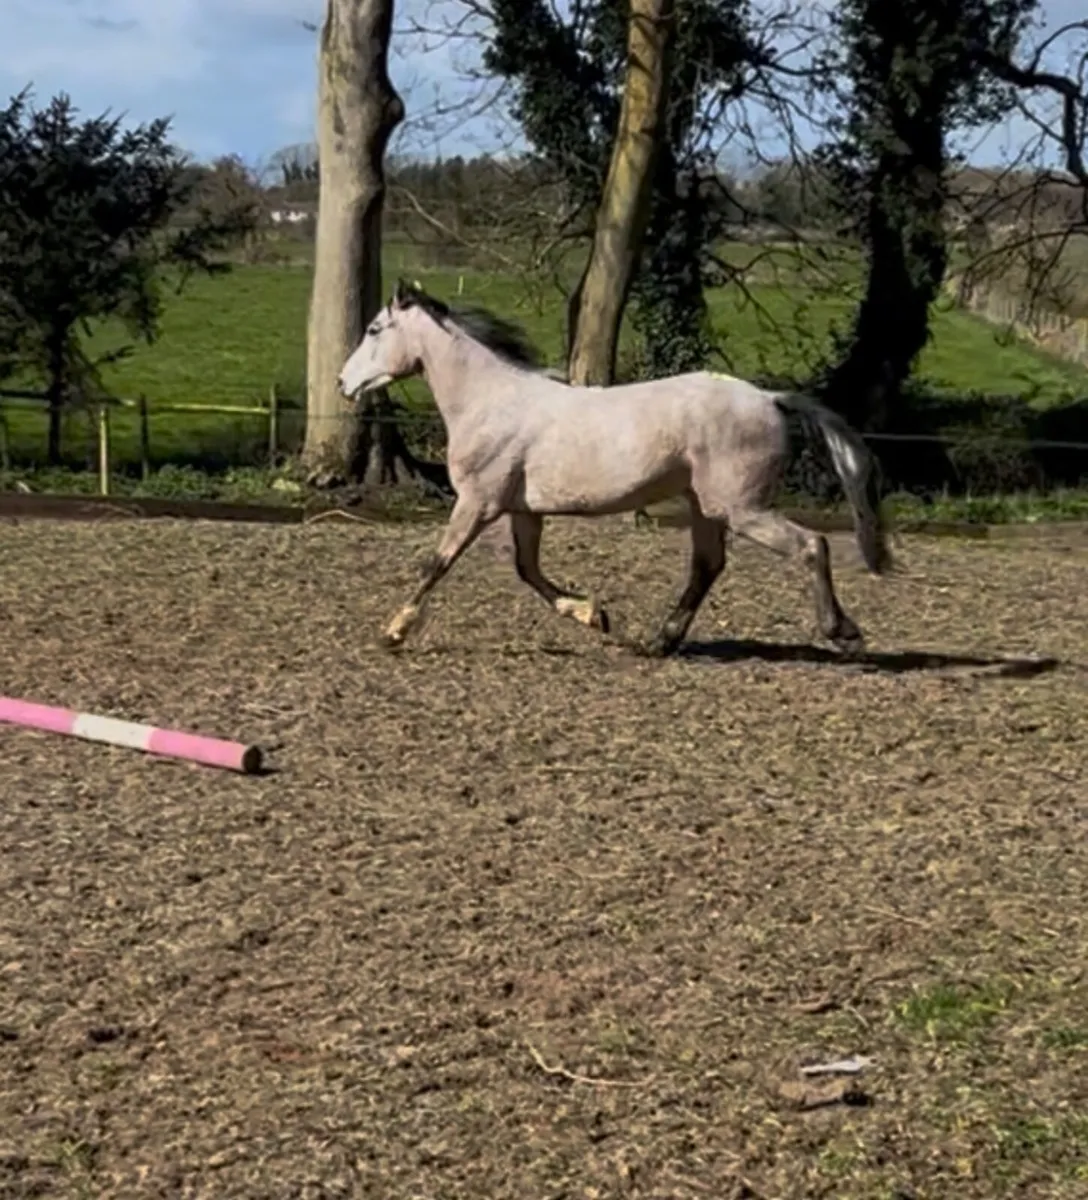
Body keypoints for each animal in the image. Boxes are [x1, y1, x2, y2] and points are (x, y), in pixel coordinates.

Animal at [338, 279, 890, 656]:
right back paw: (660, 642)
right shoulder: (524, 510)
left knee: (811, 545)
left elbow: (437, 563)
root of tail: (771, 399)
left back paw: (843, 631)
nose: (344, 383)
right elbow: (528, 571)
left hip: (739, 507)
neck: (489, 401)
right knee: (708, 566)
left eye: (373, 329)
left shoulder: (479, 502)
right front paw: (594, 615)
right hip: (706, 506)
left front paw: (394, 630)